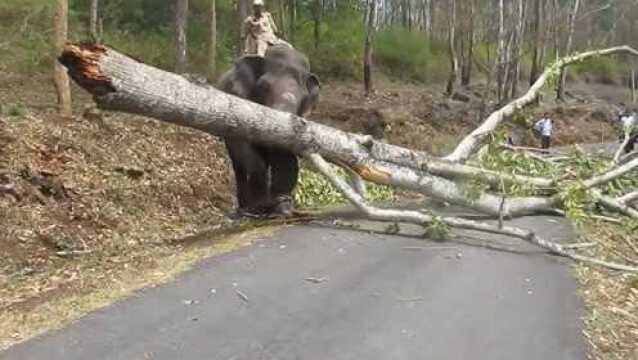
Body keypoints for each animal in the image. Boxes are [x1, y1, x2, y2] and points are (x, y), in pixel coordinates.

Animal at [219, 44, 320, 218]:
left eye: (303, 97)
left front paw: (282, 209)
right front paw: (259, 207)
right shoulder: (236, 97)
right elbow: (246, 149)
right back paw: (246, 210)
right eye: (264, 86)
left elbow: (286, 157)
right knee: (238, 164)